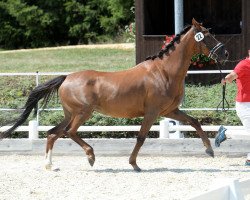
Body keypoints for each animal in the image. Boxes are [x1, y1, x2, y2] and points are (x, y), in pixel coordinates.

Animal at [0, 19, 229, 172]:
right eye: (207, 36)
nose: (225, 54)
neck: (164, 72)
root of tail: (66, 78)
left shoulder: (169, 110)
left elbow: (195, 122)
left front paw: (210, 150)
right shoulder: (153, 112)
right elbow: (141, 137)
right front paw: (134, 164)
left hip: (70, 114)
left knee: (52, 133)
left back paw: (50, 165)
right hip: (83, 113)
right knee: (69, 132)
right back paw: (90, 156)